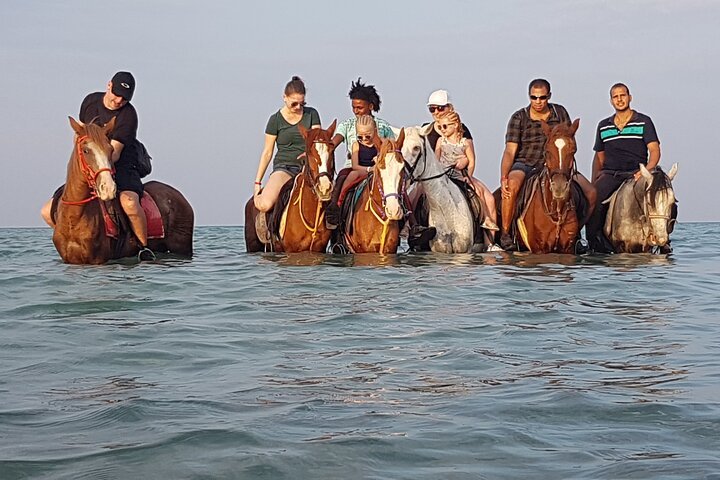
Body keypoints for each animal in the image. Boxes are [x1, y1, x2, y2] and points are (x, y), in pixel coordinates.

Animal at [51, 117, 194, 264]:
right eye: (86, 151)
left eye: (111, 150)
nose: (108, 188)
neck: (74, 219)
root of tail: (179, 196)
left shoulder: (98, 260)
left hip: (181, 247)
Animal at [245, 120, 338, 253]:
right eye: (309, 152)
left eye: (332, 150)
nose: (324, 188)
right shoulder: (291, 250)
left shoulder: (319, 249)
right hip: (252, 246)